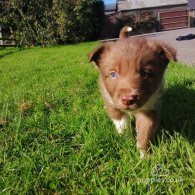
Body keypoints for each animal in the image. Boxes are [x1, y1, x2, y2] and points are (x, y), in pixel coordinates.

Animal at [88, 27, 177, 157]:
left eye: (145, 74)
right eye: (113, 74)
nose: (128, 99)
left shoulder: (150, 108)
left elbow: (144, 133)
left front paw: (144, 156)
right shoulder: (111, 101)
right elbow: (121, 122)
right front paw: (126, 139)